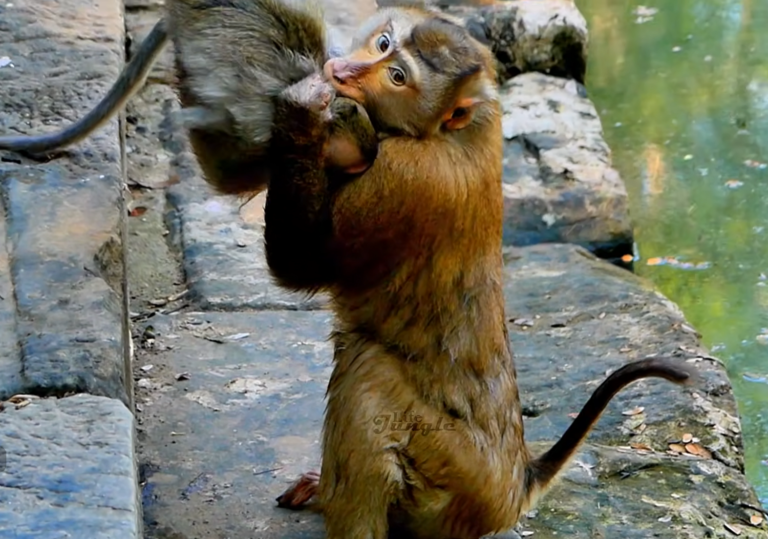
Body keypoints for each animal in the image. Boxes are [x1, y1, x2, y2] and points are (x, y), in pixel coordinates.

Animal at [248, 7, 697, 539]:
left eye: (397, 77)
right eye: (383, 43)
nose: (343, 70)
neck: (448, 131)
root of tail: (518, 481)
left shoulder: (399, 176)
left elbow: (298, 267)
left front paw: (300, 112)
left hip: (452, 482)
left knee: (369, 370)